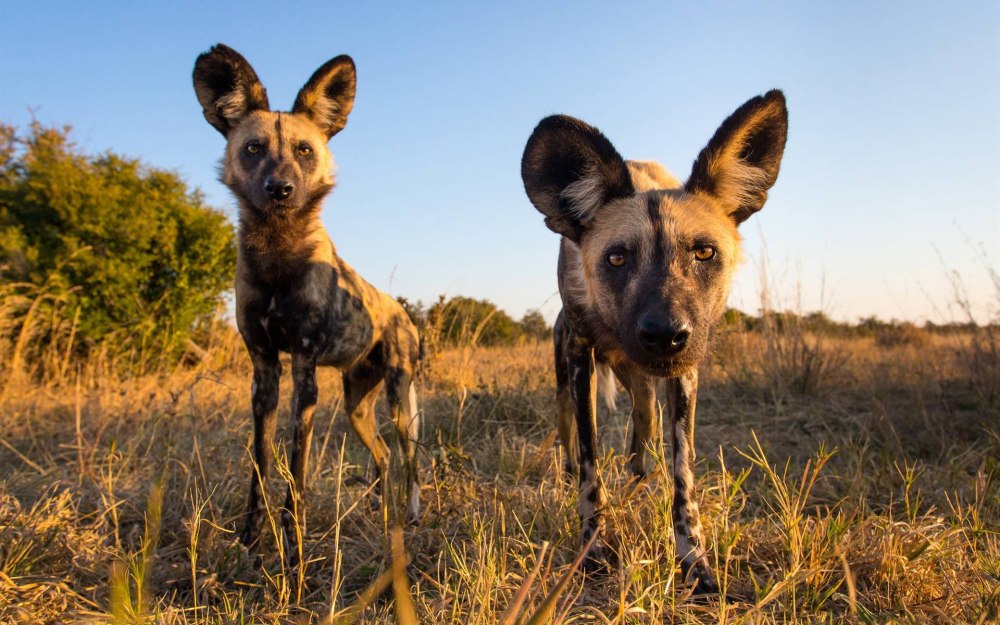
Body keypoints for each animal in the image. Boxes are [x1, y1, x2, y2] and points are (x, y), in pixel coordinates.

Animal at [193, 42, 420, 560]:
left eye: (304, 150)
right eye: (253, 149)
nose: (280, 189)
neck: (277, 254)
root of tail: (401, 310)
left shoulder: (303, 371)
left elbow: (295, 473)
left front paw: (293, 548)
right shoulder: (264, 373)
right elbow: (260, 467)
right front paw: (250, 540)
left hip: (400, 401)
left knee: (410, 459)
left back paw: (412, 515)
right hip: (357, 407)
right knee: (381, 456)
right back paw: (380, 512)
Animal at [524, 90, 788, 592]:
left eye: (704, 252)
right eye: (617, 258)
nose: (665, 335)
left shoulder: (685, 373)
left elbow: (682, 474)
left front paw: (693, 560)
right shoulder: (581, 359)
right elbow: (590, 466)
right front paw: (591, 549)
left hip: (642, 383)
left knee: (642, 432)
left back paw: (639, 486)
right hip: (568, 378)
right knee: (570, 436)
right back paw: (572, 478)